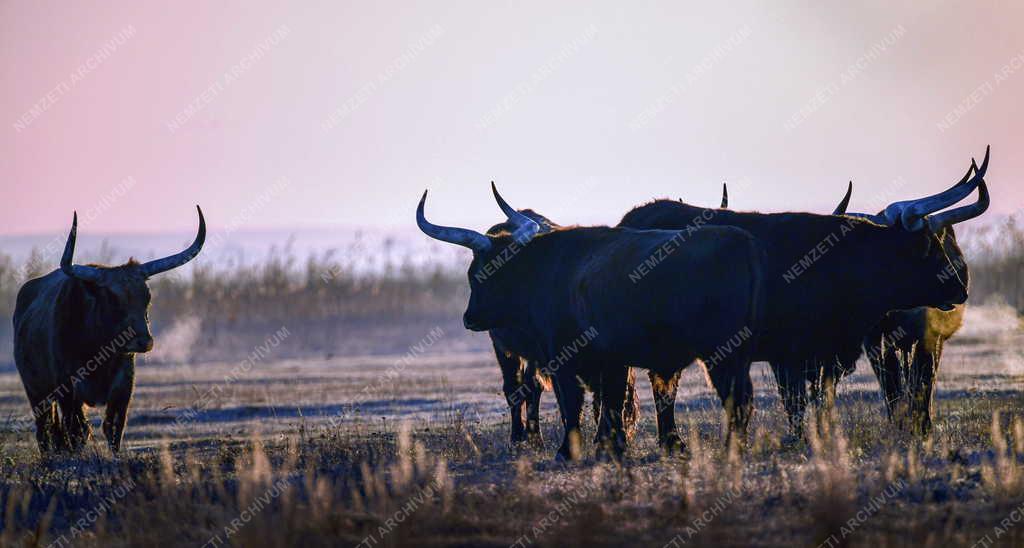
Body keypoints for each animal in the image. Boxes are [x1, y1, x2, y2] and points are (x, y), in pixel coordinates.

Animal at [13, 206, 205, 454]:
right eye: (113, 298)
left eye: (147, 296)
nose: (143, 341)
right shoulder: (68, 387)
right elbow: (77, 431)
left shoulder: (123, 384)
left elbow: (114, 427)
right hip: (37, 392)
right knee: (46, 430)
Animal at [413, 186, 761, 460]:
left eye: (478, 273)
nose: (469, 318)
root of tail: (741, 240)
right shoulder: (605, 360)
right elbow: (605, 400)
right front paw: (609, 446)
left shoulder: (565, 357)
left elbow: (575, 401)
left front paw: (571, 450)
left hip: (721, 353)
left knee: (736, 397)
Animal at [618, 151, 987, 442]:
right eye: (931, 247)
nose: (962, 288)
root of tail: (637, 215)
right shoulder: (790, 354)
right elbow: (795, 401)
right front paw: (799, 439)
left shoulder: (825, 355)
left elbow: (821, 398)